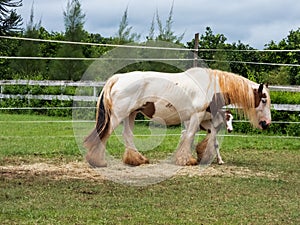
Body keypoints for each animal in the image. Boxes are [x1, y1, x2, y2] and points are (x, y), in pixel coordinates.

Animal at [83, 67, 270, 168]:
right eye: (264, 99)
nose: (266, 123)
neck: (211, 87)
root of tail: (118, 78)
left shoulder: (204, 120)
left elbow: (209, 136)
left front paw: (203, 154)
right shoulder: (196, 116)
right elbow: (190, 136)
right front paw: (186, 160)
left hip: (131, 114)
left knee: (127, 136)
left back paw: (136, 159)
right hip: (118, 116)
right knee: (105, 134)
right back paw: (98, 161)